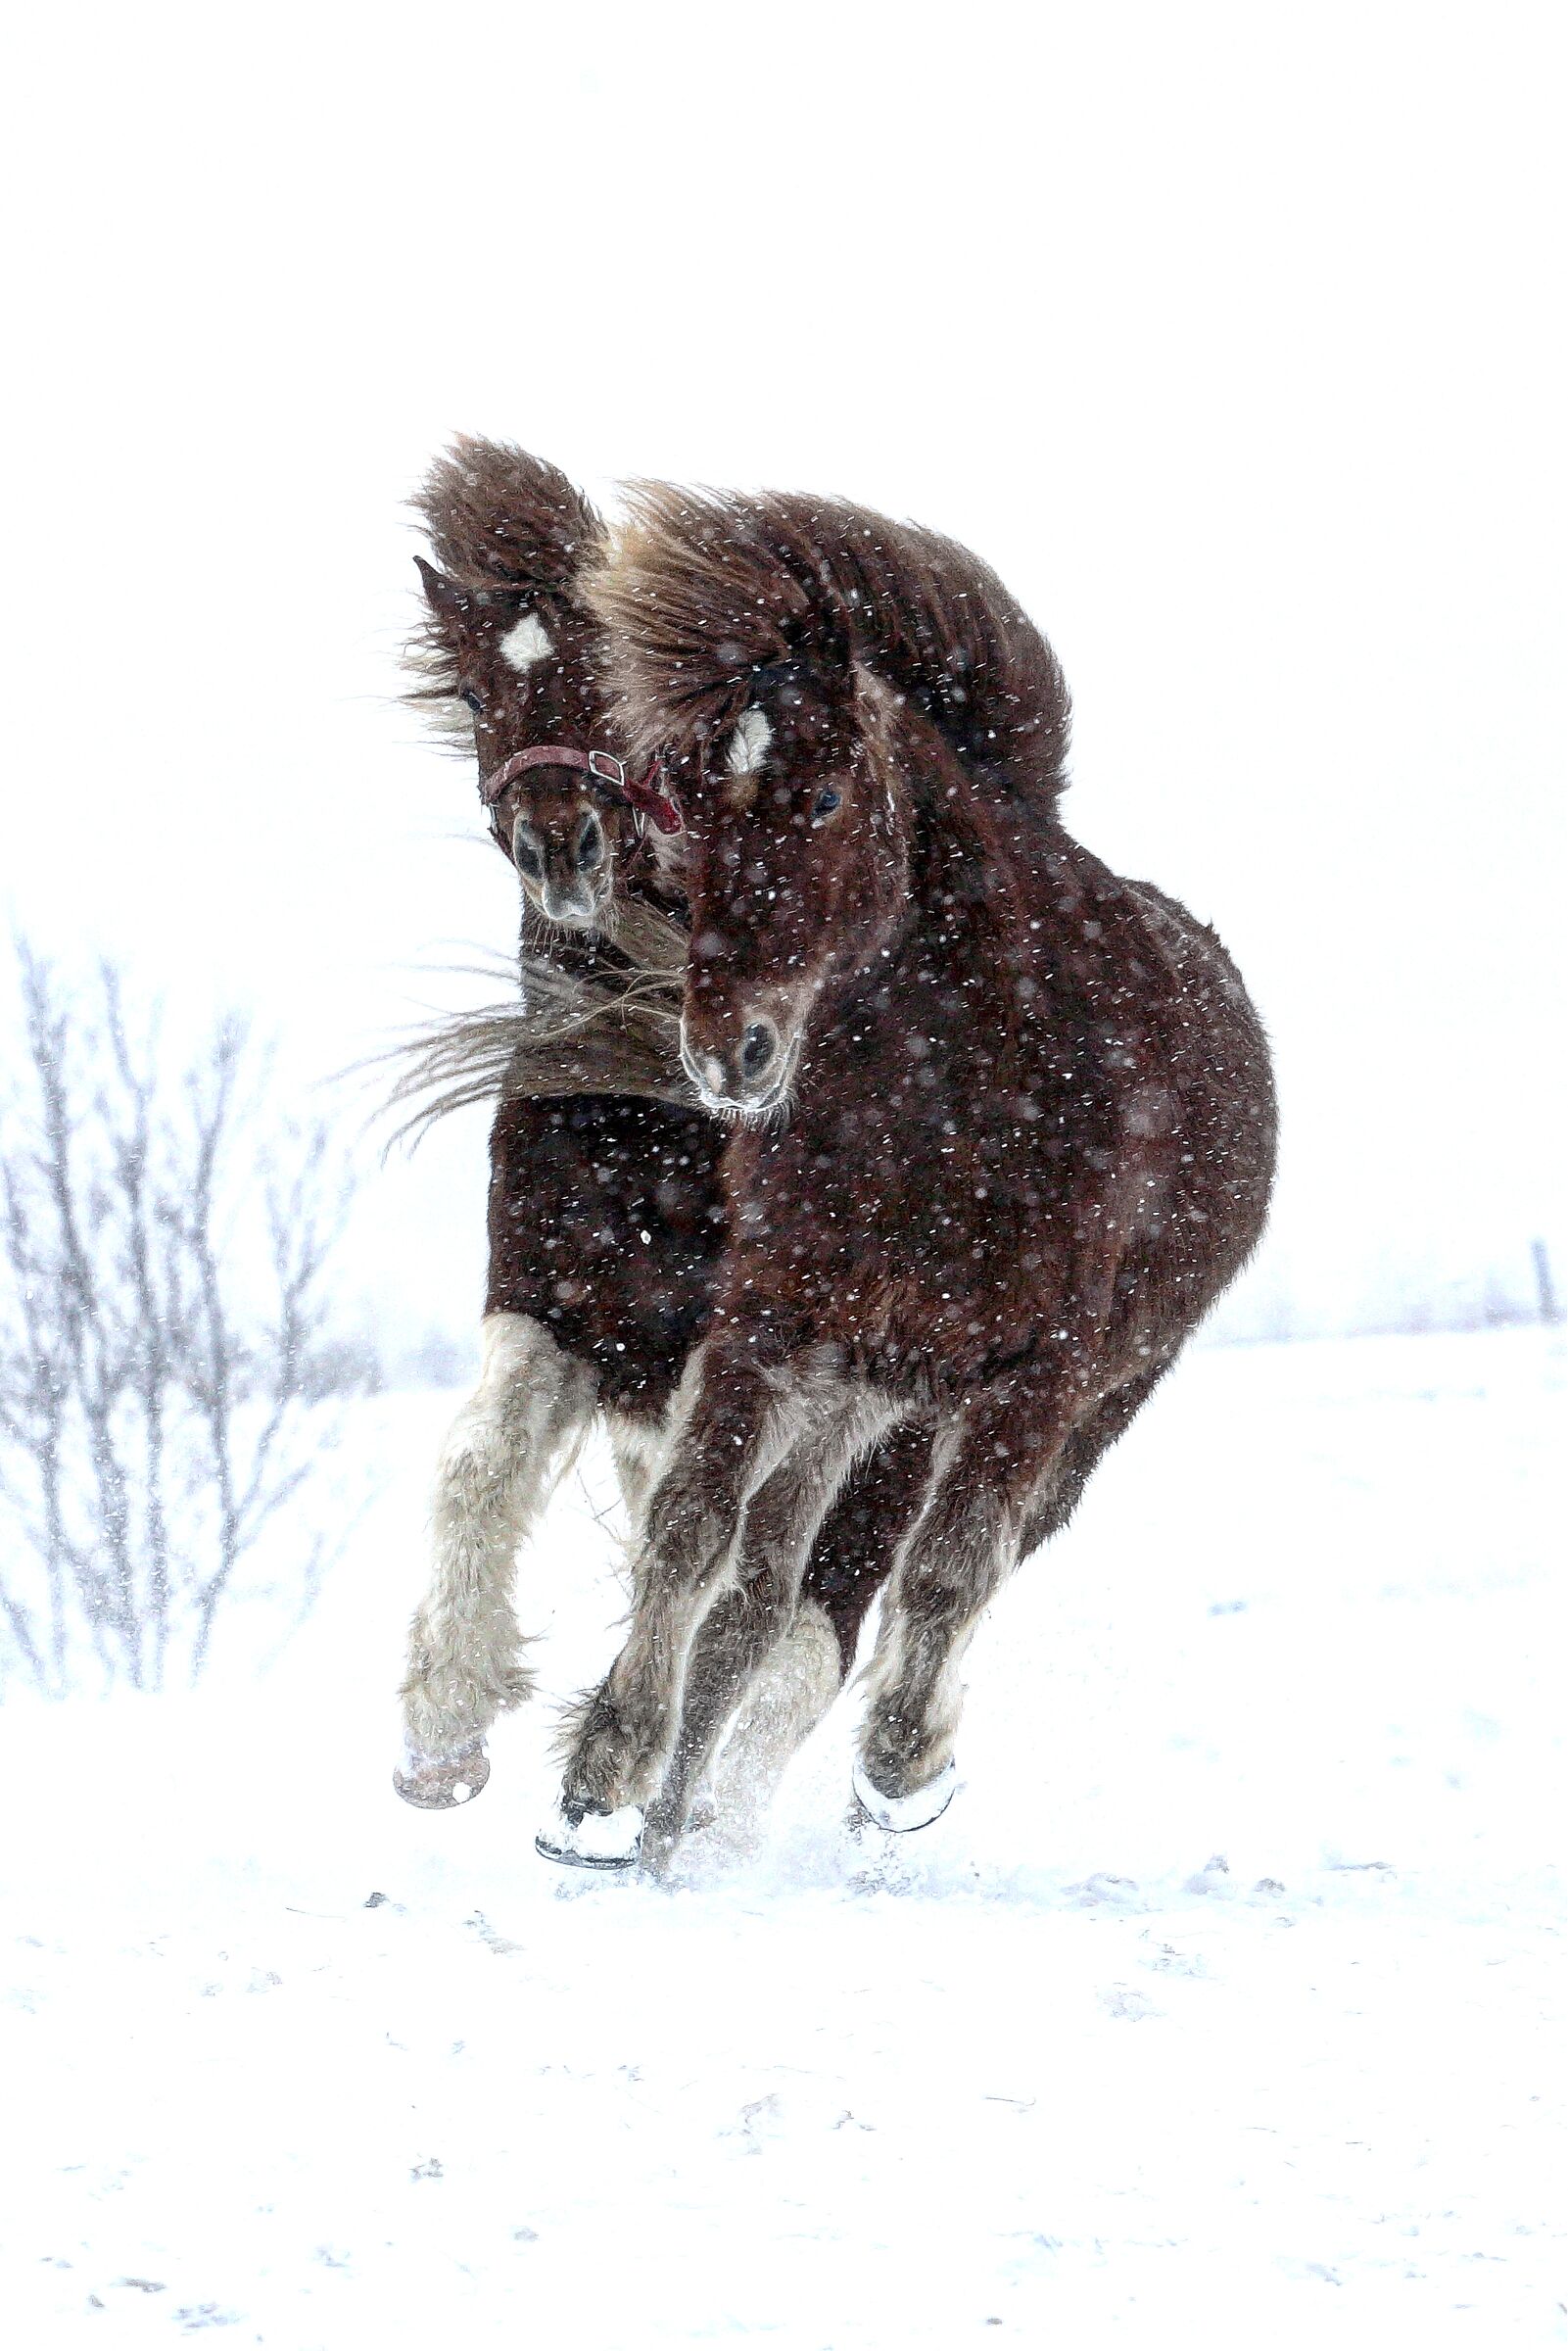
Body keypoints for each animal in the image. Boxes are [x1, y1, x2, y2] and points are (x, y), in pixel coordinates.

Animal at [393, 442, 936, 1855]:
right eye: (475, 687)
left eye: (622, 675)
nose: (561, 845)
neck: (649, 1127)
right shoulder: (554, 1302)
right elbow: (477, 1466)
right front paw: (441, 1734)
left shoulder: (728, 1351)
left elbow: (730, 1571)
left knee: (819, 1623)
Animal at [544, 486, 1278, 1857]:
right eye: (686, 804)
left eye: (830, 796)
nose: (728, 1049)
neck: (938, 1099)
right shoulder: (770, 1324)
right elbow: (689, 1536)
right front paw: (606, 1784)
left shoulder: (1034, 1376)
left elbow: (945, 1573)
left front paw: (900, 1767)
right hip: (858, 1396)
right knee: (761, 1603)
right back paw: (678, 1834)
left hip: (1070, 1405)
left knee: (941, 1573)